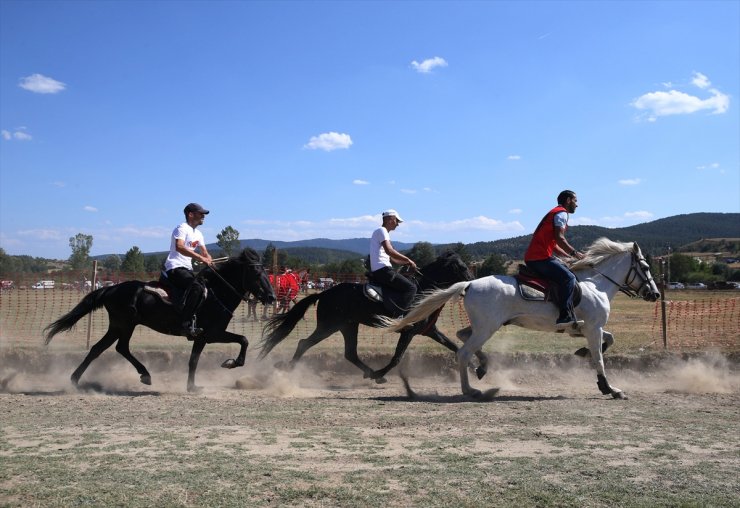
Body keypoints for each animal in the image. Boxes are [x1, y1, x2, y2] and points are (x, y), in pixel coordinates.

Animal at [44, 248, 274, 390]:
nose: (271, 296)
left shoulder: (206, 336)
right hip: (123, 325)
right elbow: (240, 341)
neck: (216, 293)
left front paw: (195, 385)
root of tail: (112, 288)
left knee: (106, 348)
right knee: (111, 348)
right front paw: (230, 364)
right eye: (256, 273)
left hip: (121, 326)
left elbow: (197, 358)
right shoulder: (210, 334)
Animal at [258, 252, 488, 382]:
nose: (473, 283)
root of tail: (325, 293)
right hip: (329, 326)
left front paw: (478, 368)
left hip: (348, 326)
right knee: (304, 344)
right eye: (462, 267)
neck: (425, 292)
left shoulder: (430, 331)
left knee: (350, 353)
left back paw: (367, 371)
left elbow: (455, 347)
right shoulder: (408, 332)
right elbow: (396, 358)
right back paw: (289, 369)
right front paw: (379, 374)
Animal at [382, 239, 660, 400]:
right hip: (488, 327)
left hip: (485, 326)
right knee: (463, 352)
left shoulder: (587, 329)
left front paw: (584, 354)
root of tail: (469, 283)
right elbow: (601, 358)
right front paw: (609, 388)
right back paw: (471, 389)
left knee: (463, 337)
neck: (596, 284)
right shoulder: (593, 327)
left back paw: (482, 367)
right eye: (645, 268)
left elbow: (608, 342)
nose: (655, 294)